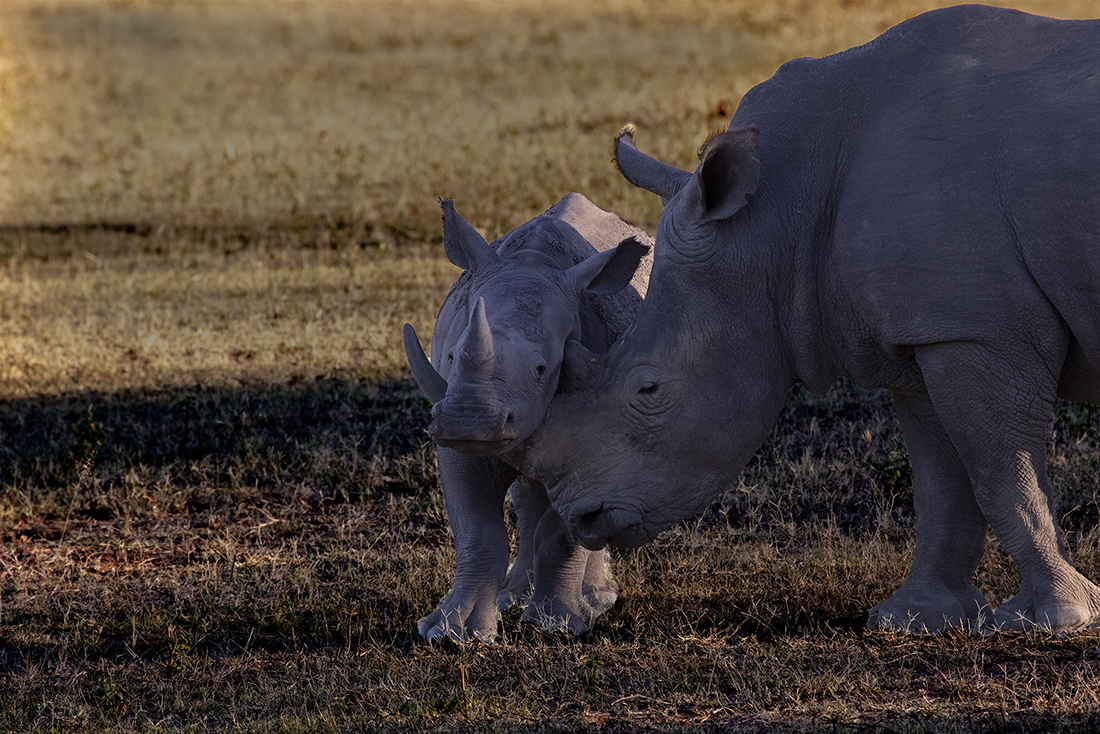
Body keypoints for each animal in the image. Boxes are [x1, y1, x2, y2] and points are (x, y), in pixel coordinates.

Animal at [404, 193, 651, 640]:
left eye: (542, 368)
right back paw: (513, 598)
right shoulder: (457, 445)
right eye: (451, 356)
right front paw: (451, 633)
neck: (534, 264)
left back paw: (593, 602)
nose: (470, 421)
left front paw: (557, 626)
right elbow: (477, 529)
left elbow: (562, 531)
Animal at [522, 5, 1100, 633]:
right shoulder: (925, 331)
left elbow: (1003, 474)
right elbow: (942, 481)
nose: (582, 514)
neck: (776, 221)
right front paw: (914, 618)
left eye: (648, 388)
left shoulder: (976, 330)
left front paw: (1053, 618)